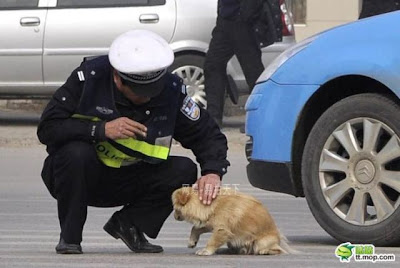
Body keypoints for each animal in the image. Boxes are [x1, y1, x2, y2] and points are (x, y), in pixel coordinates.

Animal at [39, 30, 231, 254]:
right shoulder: (76, 82)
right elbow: (50, 124)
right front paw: (114, 127)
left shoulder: (178, 94)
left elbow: (205, 134)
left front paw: (211, 179)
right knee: (75, 152)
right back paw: (69, 242)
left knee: (184, 167)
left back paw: (129, 231)